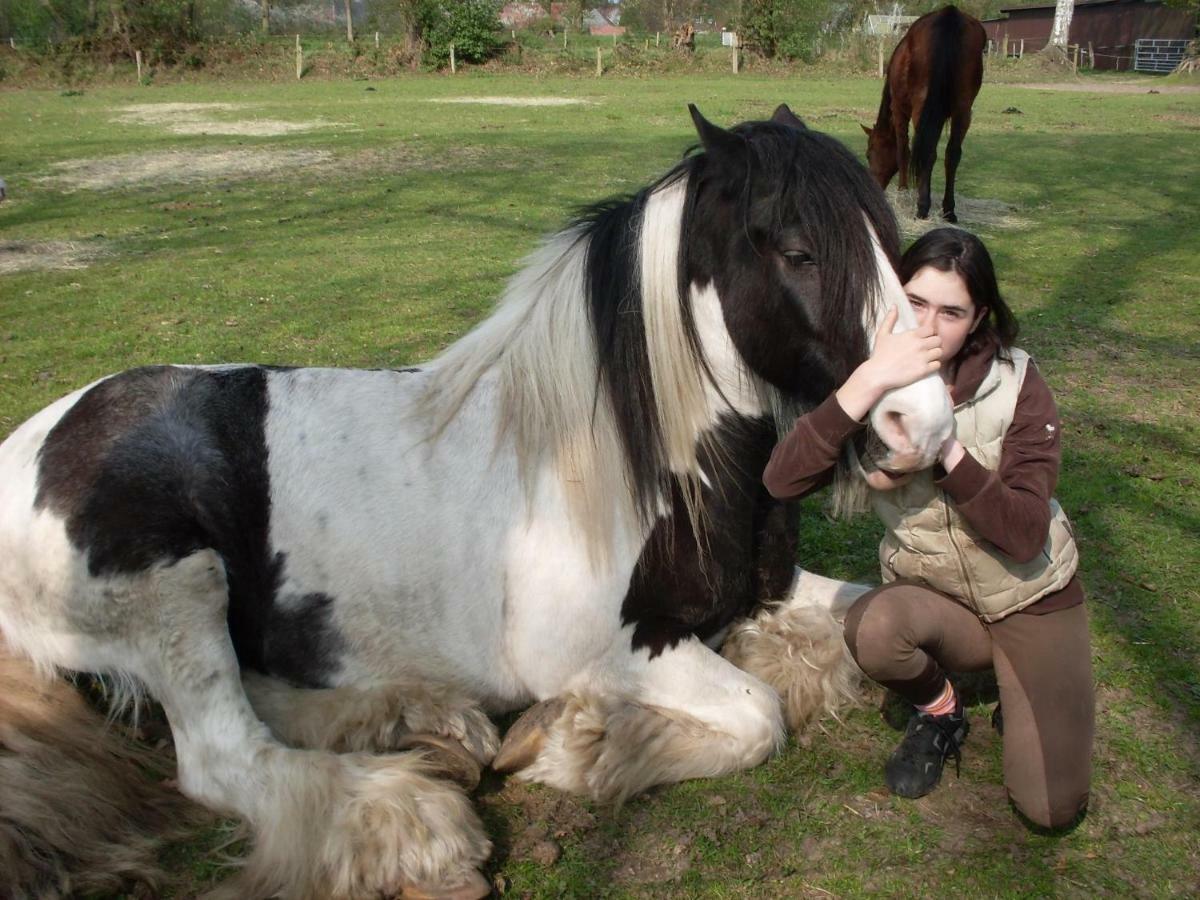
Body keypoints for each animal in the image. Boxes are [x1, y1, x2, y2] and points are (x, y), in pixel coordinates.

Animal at [2, 107, 955, 900]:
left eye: (891, 247)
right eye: (796, 251)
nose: (924, 425)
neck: (633, 466)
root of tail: (31, 443)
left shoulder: (771, 588)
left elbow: (868, 613)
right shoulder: (597, 648)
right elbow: (761, 717)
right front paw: (580, 746)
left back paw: (423, 725)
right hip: (179, 586)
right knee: (221, 756)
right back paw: (415, 825)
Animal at [864, 4, 984, 222]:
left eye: (869, 154)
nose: (874, 188)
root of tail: (950, 14)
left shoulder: (900, 110)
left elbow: (904, 150)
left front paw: (904, 191)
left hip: (921, 108)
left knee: (928, 151)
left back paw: (922, 207)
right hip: (963, 110)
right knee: (952, 154)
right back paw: (948, 210)